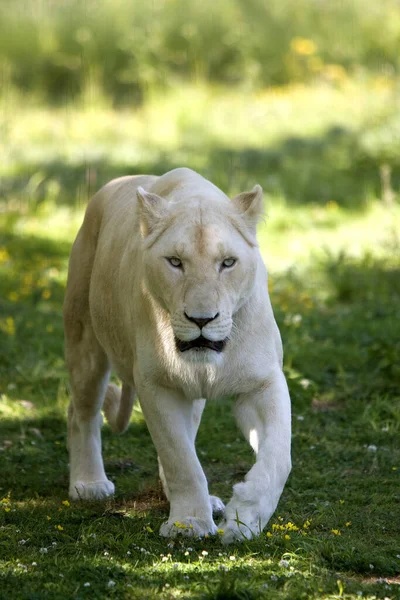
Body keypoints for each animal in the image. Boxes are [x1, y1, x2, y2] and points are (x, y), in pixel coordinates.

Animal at [63, 166, 290, 540]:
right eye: (175, 262)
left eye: (228, 262)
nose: (201, 319)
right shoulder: (157, 385)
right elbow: (179, 457)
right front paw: (190, 524)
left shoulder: (262, 383)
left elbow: (278, 457)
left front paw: (244, 517)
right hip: (85, 342)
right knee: (82, 412)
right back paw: (88, 483)